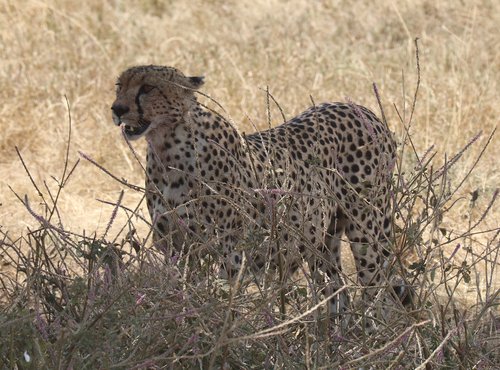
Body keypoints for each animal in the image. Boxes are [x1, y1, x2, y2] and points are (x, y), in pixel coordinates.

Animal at [111, 65, 408, 326]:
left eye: (148, 88)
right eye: (119, 86)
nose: (117, 109)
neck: (167, 149)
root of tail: (361, 109)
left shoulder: (230, 252)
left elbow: (221, 302)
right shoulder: (176, 248)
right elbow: (183, 296)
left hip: (367, 231)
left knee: (375, 289)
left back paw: (370, 336)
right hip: (322, 239)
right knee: (339, 291)